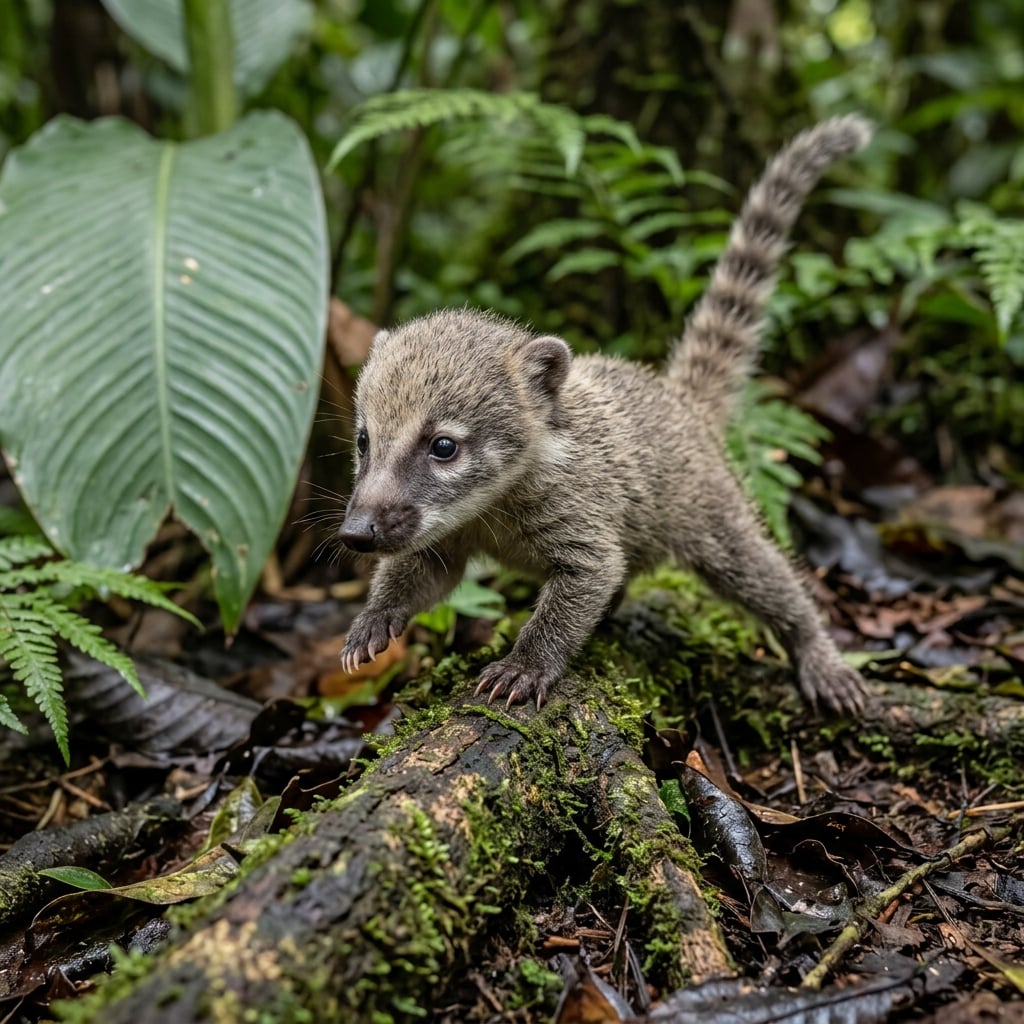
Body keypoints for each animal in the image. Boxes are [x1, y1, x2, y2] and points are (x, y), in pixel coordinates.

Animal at [338, 115, 872, 713]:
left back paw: (815, 648)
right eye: (363, 441)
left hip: (708, 507)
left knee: (760, 572)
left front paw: (527, 663)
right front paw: (375, 617)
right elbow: (428, 571)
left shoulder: (581, 507)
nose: (355, 534)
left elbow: (589, 576)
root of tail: (678, 400)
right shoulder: (442, 526)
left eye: (444, 447)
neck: (491, 503)